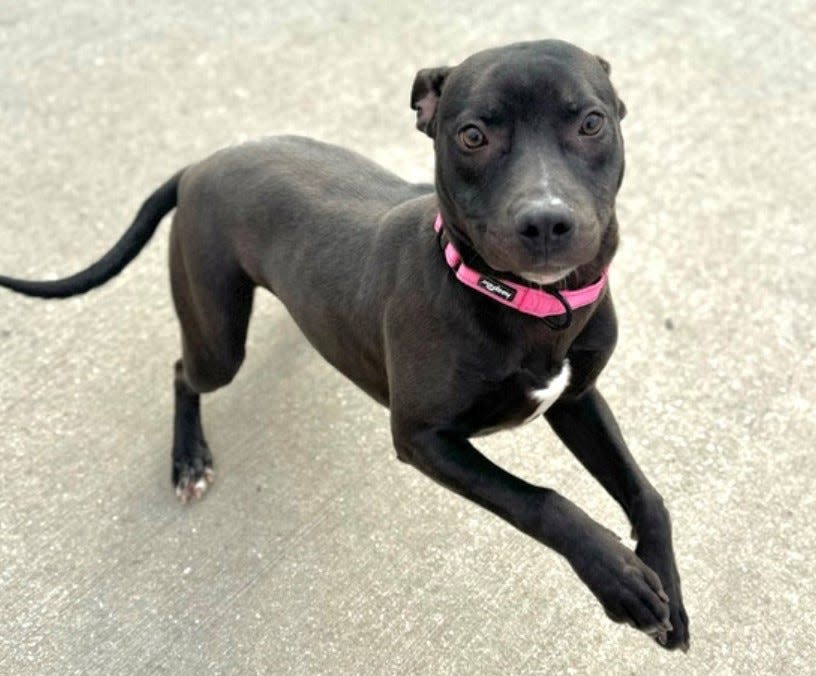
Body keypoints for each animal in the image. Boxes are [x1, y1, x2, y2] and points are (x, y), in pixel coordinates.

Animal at [0, 38, 688, 648]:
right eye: (472, 136)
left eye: (592, 122)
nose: (545, 221)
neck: (530, 309)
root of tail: (200, 165)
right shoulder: (424, 440)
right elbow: (543, 501)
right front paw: (620, 579)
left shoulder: (576, 397)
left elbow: (647, 495)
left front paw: (668, 591)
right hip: (218, 343)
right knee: (181, 371)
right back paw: (189, 459)